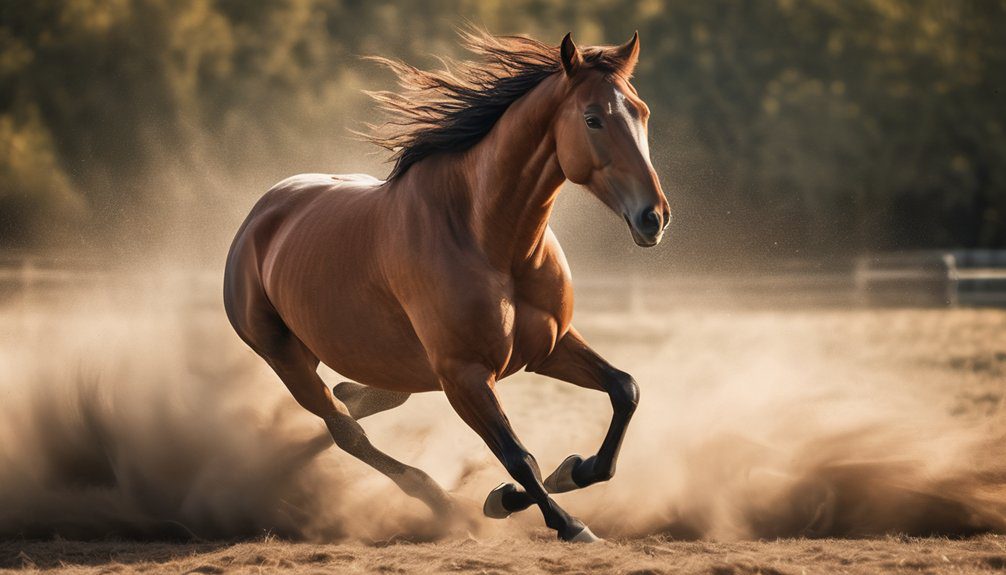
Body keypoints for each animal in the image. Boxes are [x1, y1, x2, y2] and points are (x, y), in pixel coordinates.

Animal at [223, 29, 670, 543]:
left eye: (641, 112)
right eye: (593, 119)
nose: (654, 217)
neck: (492, 241)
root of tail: (261, 215)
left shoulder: (549, 348)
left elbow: (624, 391)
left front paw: (565, 472)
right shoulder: (465, 376)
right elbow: (519, 457)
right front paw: (562, 521)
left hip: (389, 364)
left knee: (360, 404)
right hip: (285, 357)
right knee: (346, 432)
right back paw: (438, 500)